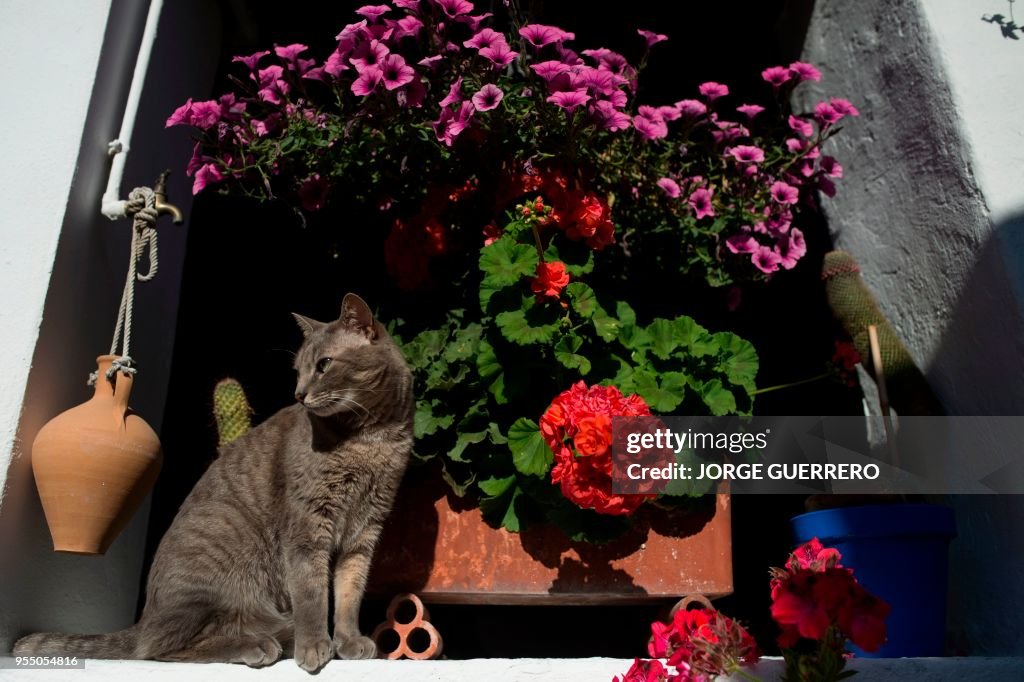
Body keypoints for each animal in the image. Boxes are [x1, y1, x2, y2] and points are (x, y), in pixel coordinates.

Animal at [14, 292, 413, 667]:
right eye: (298, 370)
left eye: (324, 364)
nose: (298, 394)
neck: (370, 439)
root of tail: (144, 619)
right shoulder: (307, 526)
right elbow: (312, 593)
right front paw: (315, 646)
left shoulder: (365, 532)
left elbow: (349, 593)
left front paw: (349, 642)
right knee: (160, 647)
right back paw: (258, 646)